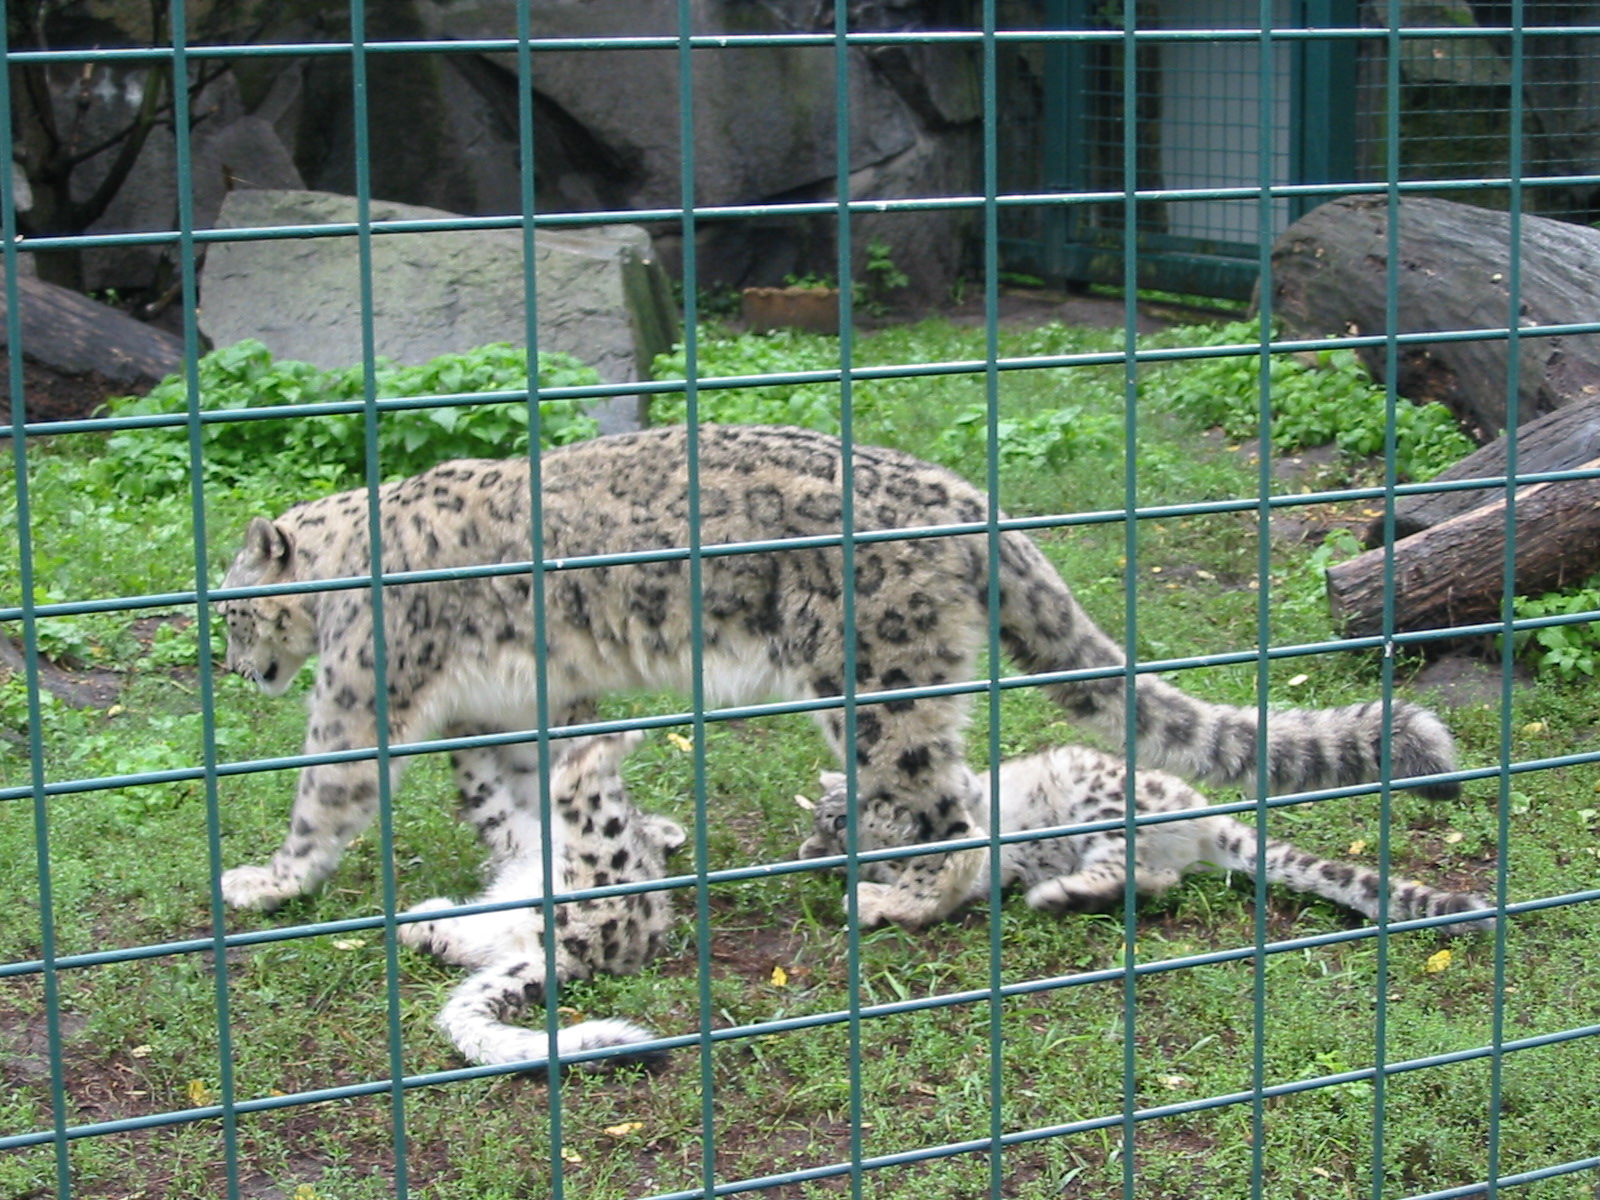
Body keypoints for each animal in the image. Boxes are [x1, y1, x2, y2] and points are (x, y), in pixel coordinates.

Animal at [398, 731, 686, 1068]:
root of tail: (565, 958)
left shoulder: (518, 834)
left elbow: (484, 793)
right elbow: (483, 790)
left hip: (600, 856)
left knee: (577, 793)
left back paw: (611, 743)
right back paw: (423, 919)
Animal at [800, 745, 1493, 932]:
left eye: (838, 815)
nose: (825, 835)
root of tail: (1205, 815)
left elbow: (933, 871)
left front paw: (874, 898)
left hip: (1102, 806)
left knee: (1119, 867)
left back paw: (1060, 893)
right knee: (1154, 881)